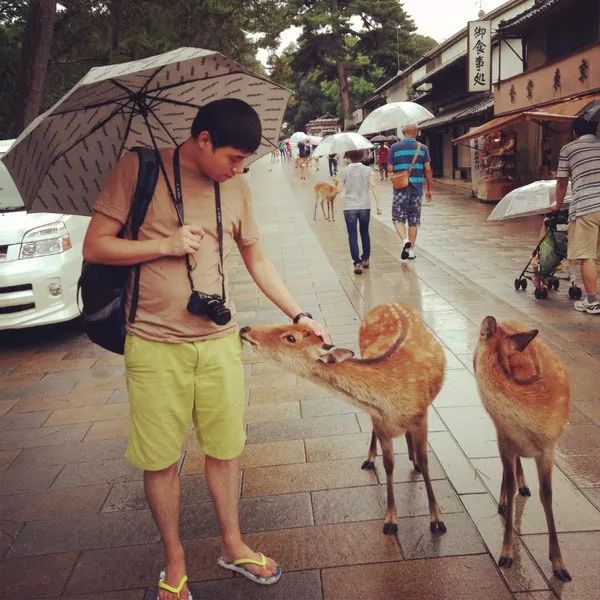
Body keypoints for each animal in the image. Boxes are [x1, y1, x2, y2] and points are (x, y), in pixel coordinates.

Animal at [241, 304, 448, 536]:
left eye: (291, 337)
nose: (245, 328)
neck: (391, 403)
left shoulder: (421, 417)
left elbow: (425, 461)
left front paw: (437, 520)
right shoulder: (381, 423)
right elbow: (389, 465)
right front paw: (390, 521)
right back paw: (370, 459)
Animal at [474, 316, 572, 584]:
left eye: (483, 334)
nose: (489, 319)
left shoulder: (549, 449)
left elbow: (547, 495)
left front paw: (560, 566)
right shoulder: (505, 438)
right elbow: (509, 485)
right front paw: (506, 553)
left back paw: (523, 485)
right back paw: (507, 496)